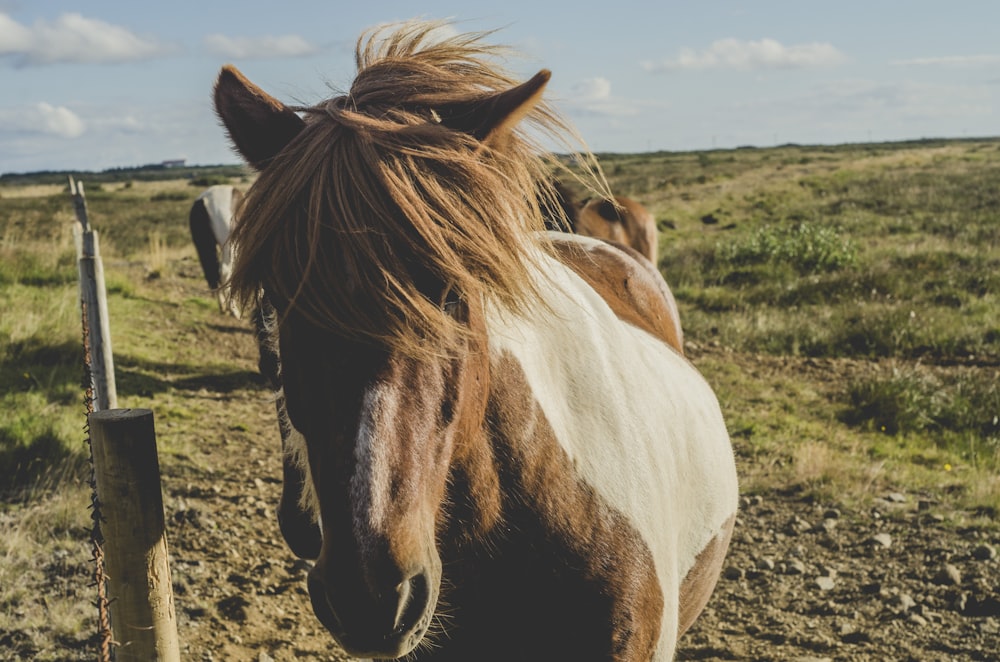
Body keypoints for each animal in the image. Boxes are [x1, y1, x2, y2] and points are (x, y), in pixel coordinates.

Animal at [191, 184, 246, 320]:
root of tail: (204, 201)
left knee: (213, 273)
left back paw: (223, 306)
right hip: (229, 247)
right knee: (224, 272)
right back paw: (233, 311)